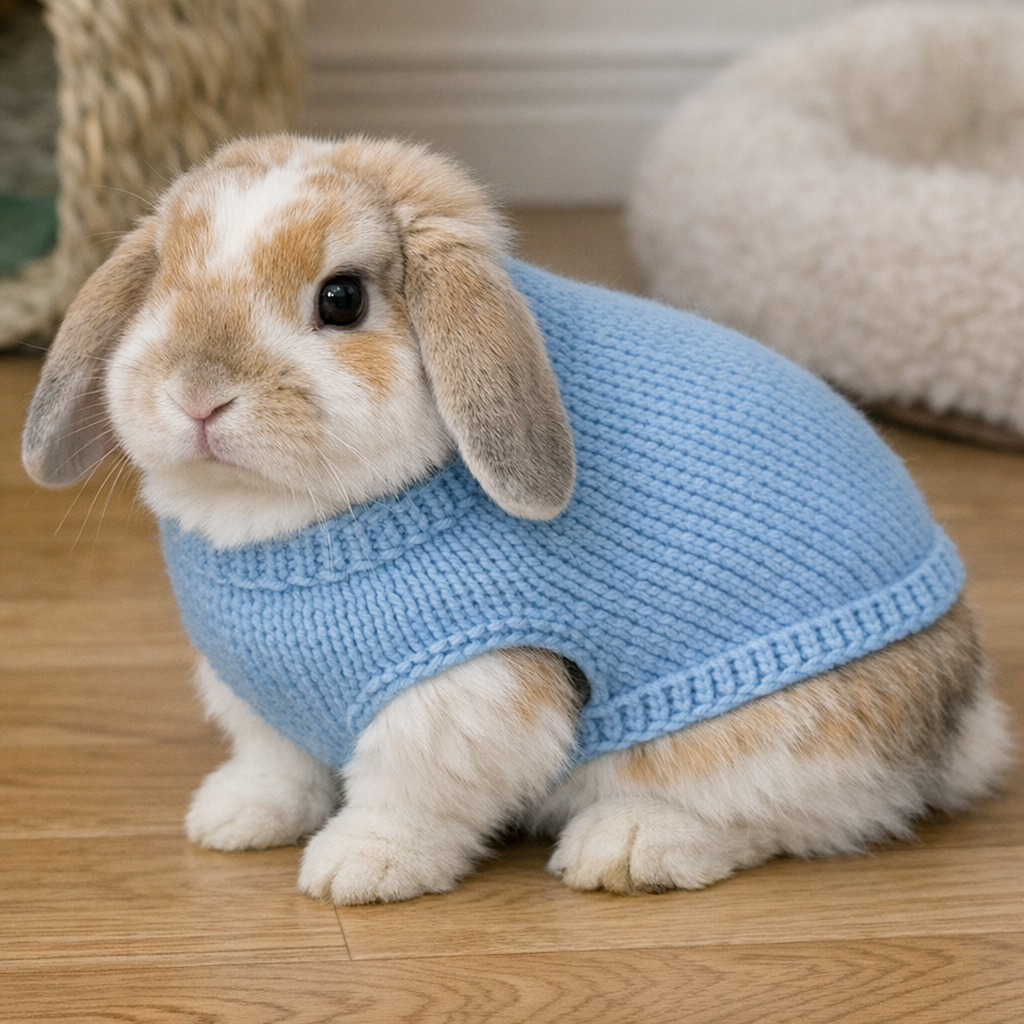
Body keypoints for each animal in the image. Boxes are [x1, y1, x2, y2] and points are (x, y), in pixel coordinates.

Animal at [22, 134, 1010, 904]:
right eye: (161, 281)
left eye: (342, 298)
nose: (198, 393)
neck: (286, 528)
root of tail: (966, 720)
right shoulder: (258, 694)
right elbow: (278, 763)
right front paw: (231, 819)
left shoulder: (467, 692)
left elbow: (408, 793)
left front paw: (359, 869)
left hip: (765, 734)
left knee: (782, 817)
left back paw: (629, 847)